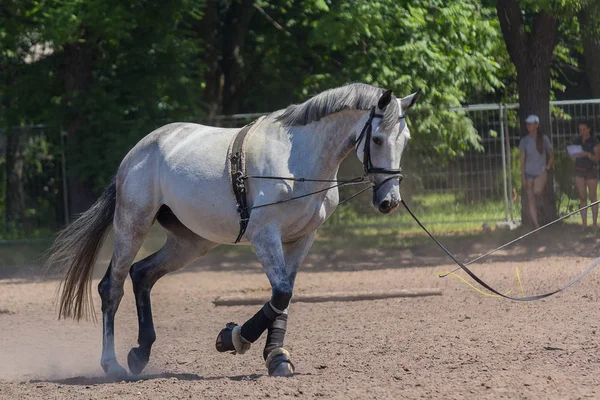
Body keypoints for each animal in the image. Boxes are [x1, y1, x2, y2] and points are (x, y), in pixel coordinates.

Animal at [47, 83, 420, 376]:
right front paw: (232, 338)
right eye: (377, 139)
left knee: (142, 274)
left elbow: (284, 296)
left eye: (405, 140)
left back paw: (141, 353)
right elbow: (280, 293)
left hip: (191, 242)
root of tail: (137, 151)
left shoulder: (302, 238)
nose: (389, 201)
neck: (298, 160)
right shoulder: (264, 234)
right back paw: (112, 364)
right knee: (112, 286)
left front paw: (276, 358)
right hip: (132, 223)